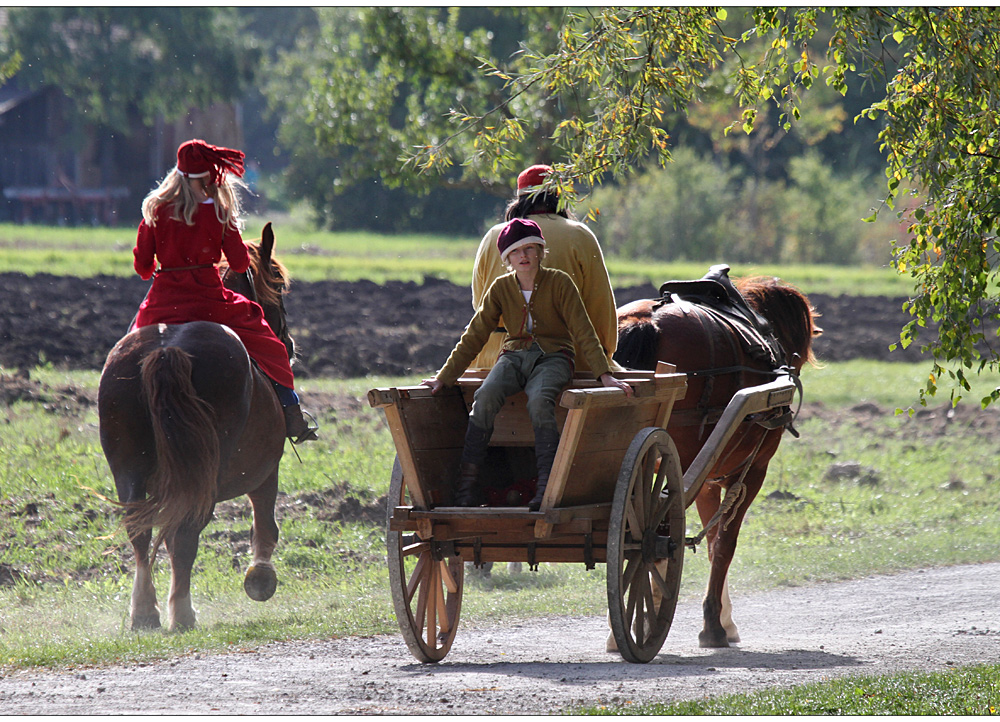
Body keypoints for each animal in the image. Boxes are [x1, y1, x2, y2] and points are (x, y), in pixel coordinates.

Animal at [98, 221, 292, 632]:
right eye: (279, 283)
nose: (291, 343)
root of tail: (167, 350)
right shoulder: (267, 467)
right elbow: (265, 522)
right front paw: (260, 577)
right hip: (207, 473)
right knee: (185, 533)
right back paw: (182, 612)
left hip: (129, 466)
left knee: (140, 530)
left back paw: (144, 611)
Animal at [608, 272, 820, 648]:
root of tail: (645, 322)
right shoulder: (749, 473)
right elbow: (723, 544)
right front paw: (715, 625)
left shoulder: (705, 481)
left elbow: (709, 544)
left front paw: (721, 617)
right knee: (652, 535)